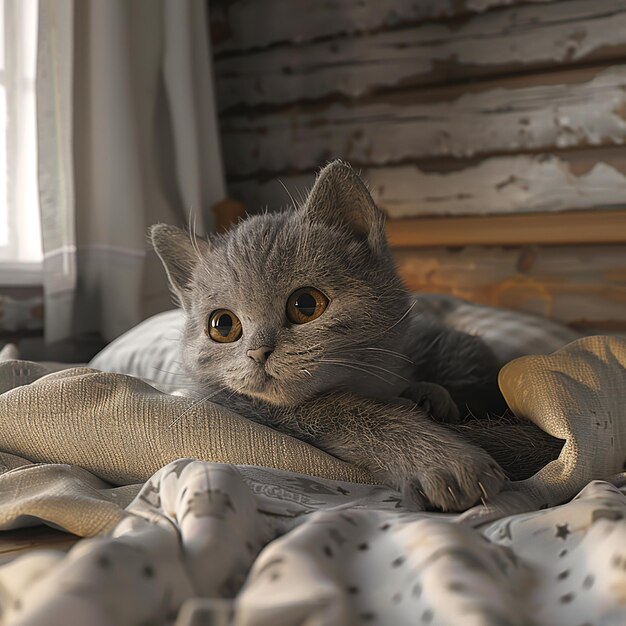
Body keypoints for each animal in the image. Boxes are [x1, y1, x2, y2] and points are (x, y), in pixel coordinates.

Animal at [151, 158, 508, 510]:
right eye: (223, 325)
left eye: (306, 304)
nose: (258, 351)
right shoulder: (246, 408)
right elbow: (337, 410)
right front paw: (440, 458)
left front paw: (430, 396)